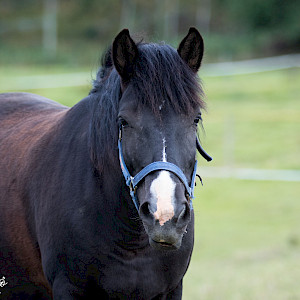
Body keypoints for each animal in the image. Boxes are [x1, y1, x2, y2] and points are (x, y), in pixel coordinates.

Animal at [0, 27, 211, 298]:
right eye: (123, 121)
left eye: (195, 119)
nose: (165, 216)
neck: (133, 242)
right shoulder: (68, 288)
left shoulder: (172, 290)